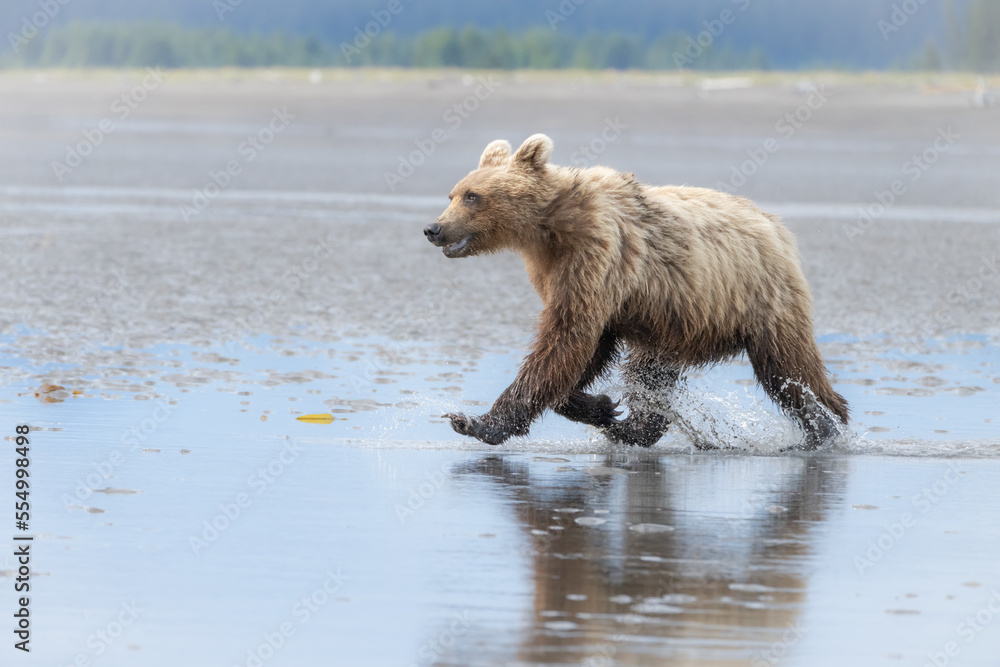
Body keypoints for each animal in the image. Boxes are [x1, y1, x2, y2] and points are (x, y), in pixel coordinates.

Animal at [423, 134, 849, 449]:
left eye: (472, 196)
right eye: (452, 194)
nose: (434, 228)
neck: (549, 230)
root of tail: (776, 225)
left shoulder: (595, 257)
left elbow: (565, 340)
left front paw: (474, 421)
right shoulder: (567, 278)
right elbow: (584, 349)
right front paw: (600, 406)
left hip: (759, 299)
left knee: (788, 369)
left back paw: (825, 424)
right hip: (674, 319)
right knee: (650, 373)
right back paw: (633, 427)